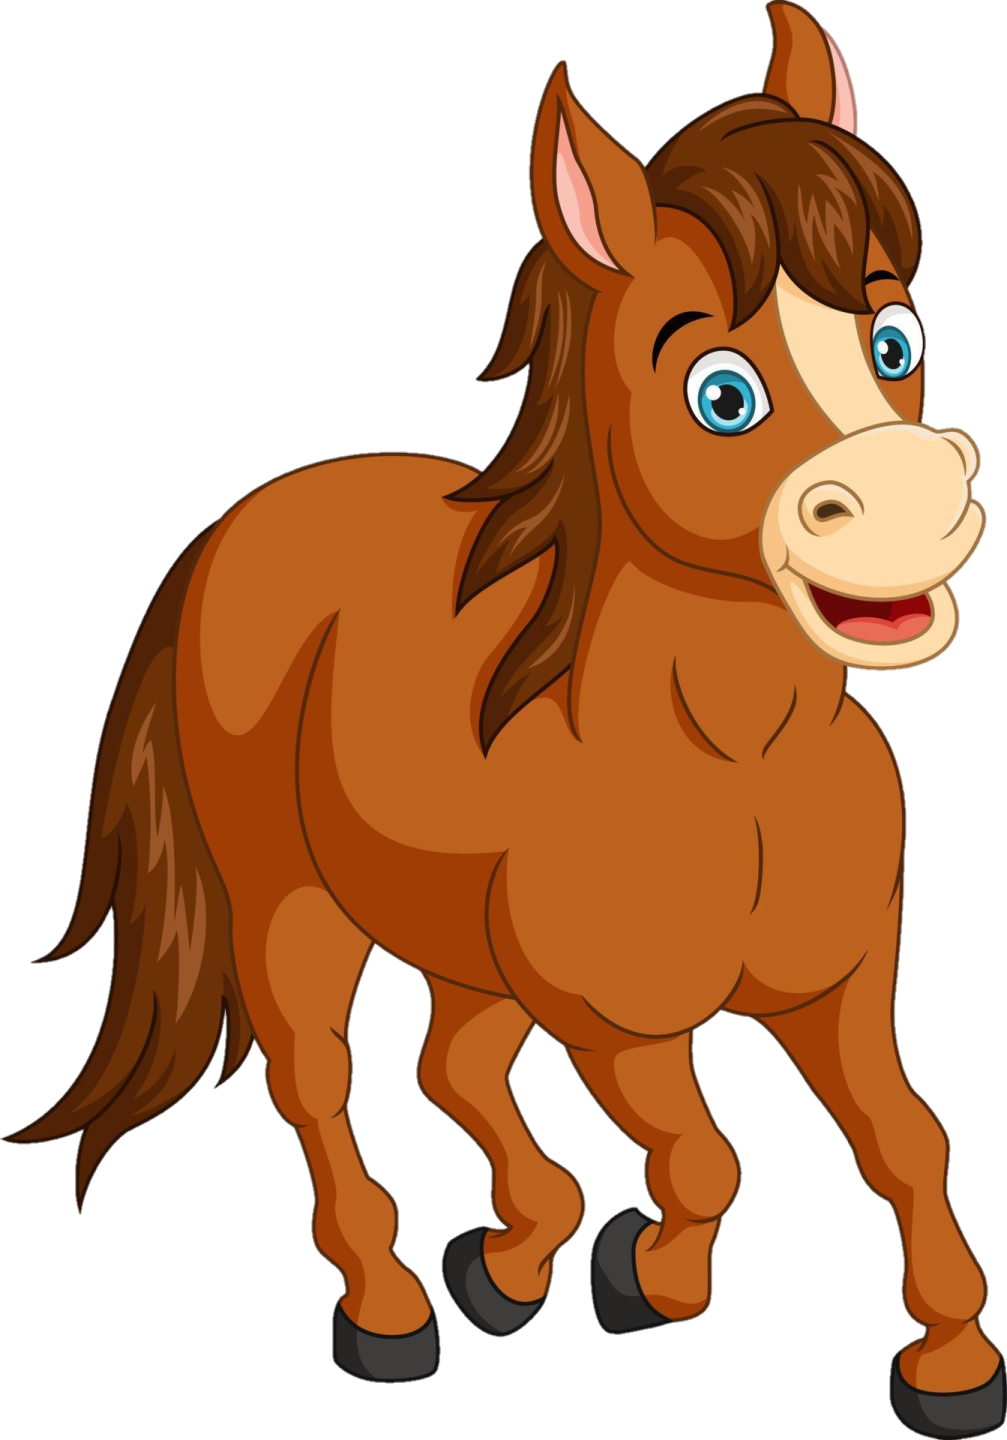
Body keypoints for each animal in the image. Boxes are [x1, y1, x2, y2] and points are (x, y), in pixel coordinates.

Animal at [9, 2, 1003, 1429]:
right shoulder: (618, 1027)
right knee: (320, 1079)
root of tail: (247, 519)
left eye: (893, 344)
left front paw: (952, 1362)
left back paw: (509, 1260)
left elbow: (906, 1140)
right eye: (720, 393)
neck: (732, 759)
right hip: (289, 905)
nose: (909, 507)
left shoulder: (839, 987)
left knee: (453, 1068)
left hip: (455, 939)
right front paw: (647, 1280)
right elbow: (704, 1160)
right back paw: (390, 1307)